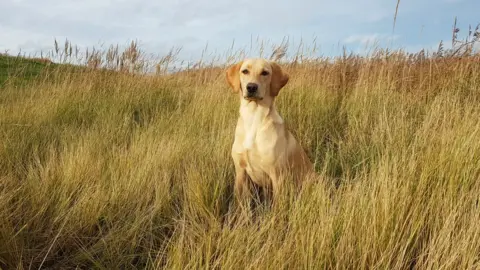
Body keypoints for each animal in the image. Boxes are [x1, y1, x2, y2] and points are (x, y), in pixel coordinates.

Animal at [226, 59, 314, 202]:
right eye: (245, 71)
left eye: (265, 73)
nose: (251, 87)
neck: (253, 118)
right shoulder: (240, 172)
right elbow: (237, 202)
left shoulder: (277, 175)